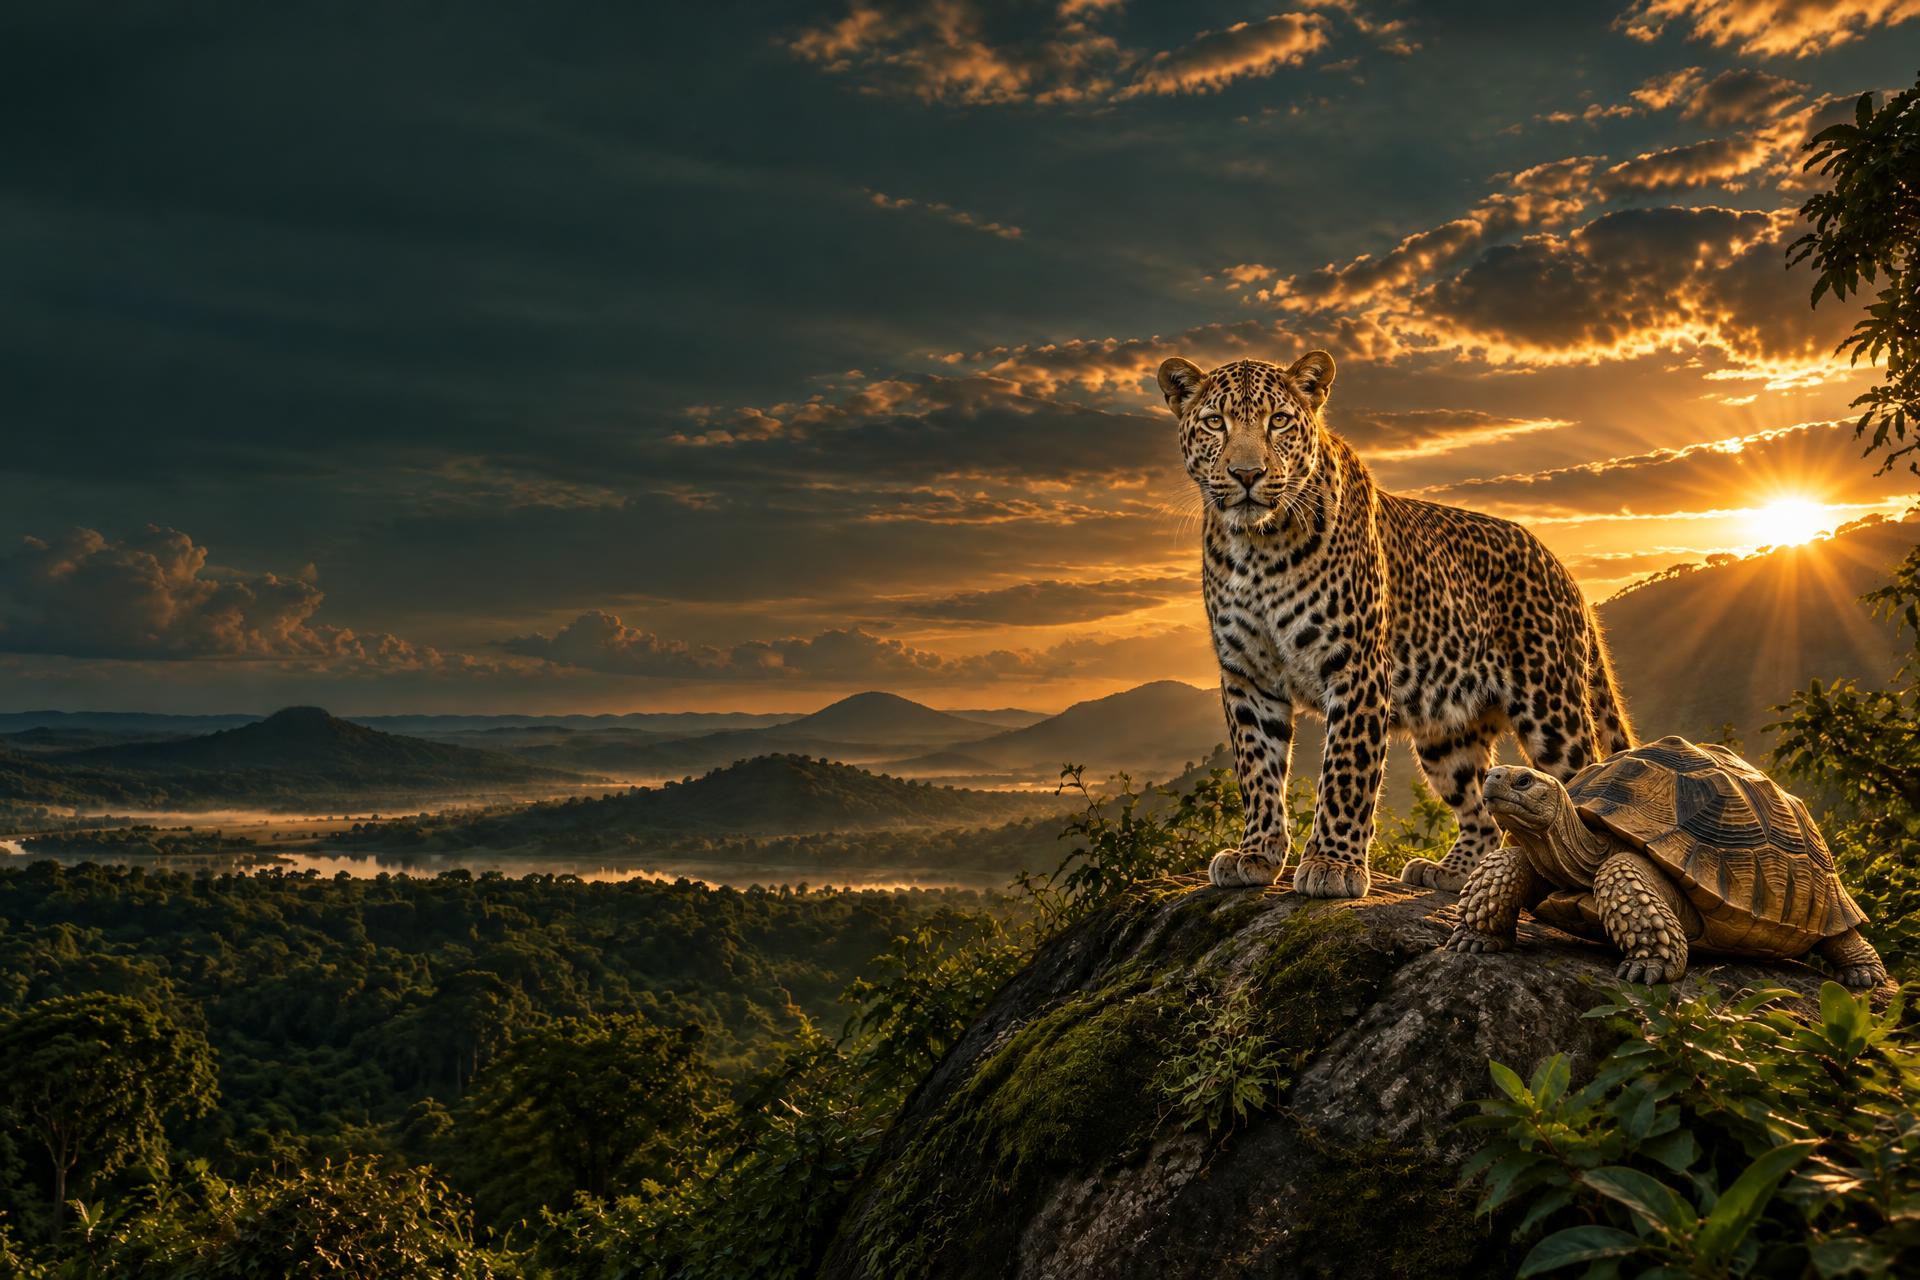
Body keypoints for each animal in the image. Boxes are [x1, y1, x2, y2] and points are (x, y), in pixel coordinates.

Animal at [1159, 350, 1635, 900]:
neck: (1258, 547)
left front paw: (1332, 865)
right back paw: (1451, 872)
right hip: (1447, 732)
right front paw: (1256, 854)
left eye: (1278, 421)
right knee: (1481, 806)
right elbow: (1257, 769)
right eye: (1215, 422)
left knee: (1577, 778)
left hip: (1552, 711)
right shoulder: (1246, 675)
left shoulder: (1355, 666)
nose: (1246, 474)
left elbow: (1346, 770)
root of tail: (1565, 573)